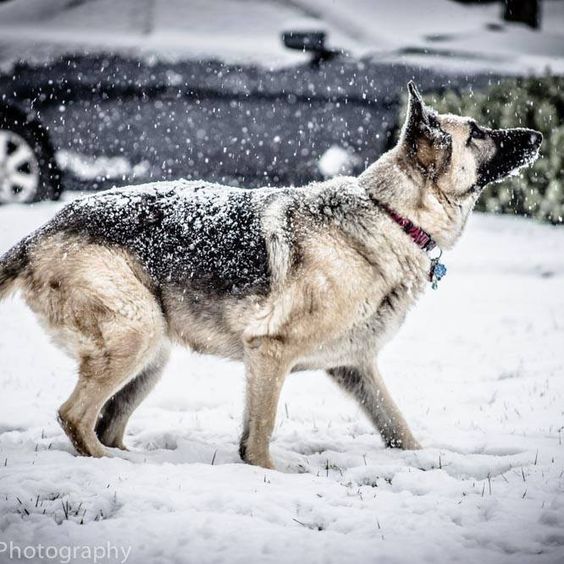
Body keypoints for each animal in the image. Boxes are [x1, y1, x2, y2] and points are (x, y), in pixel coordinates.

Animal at [0, 80, 540, 468]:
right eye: (477, 133)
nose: (537, 136)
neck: (390, 215)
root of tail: (35, 235)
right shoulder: (270, 352)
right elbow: (258, 439)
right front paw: (267, 476)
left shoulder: (356, 367)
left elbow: (399, 430)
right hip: (137, 333)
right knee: (75, 416)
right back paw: (111, 465)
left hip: (152, 352)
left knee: (106, 423)